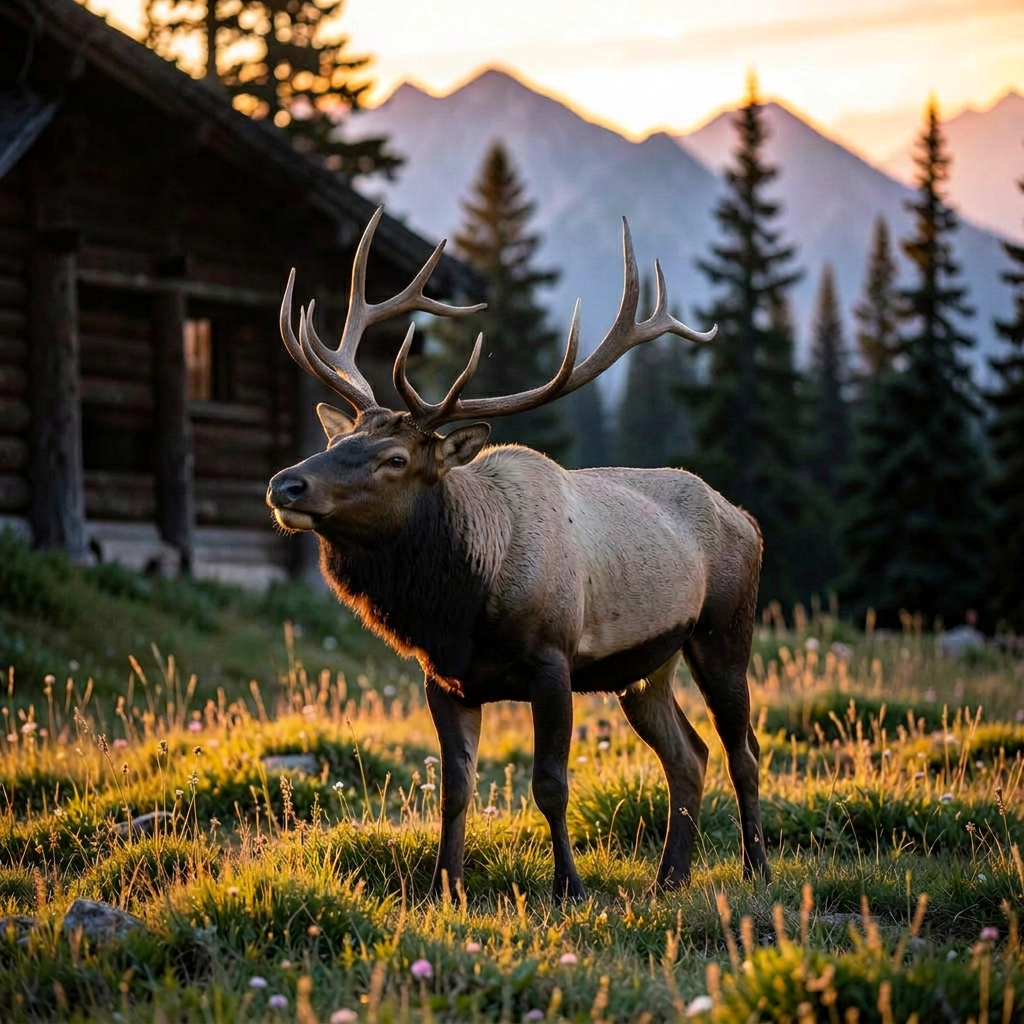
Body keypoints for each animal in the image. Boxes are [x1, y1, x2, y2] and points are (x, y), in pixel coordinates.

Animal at [267, 207, 771, 901]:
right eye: (338, 442)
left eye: (394, 459)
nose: (285, 484)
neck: (462, 607)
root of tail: (745, 518)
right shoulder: (444, 678)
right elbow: (454, 789)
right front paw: (443, 890)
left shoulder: (553, 661)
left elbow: (550, 785)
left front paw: (570, 889)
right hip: (647, 666)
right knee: (687, 756)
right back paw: (669, 879)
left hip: (724, 631)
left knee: (742, 750)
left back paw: (756, 868)